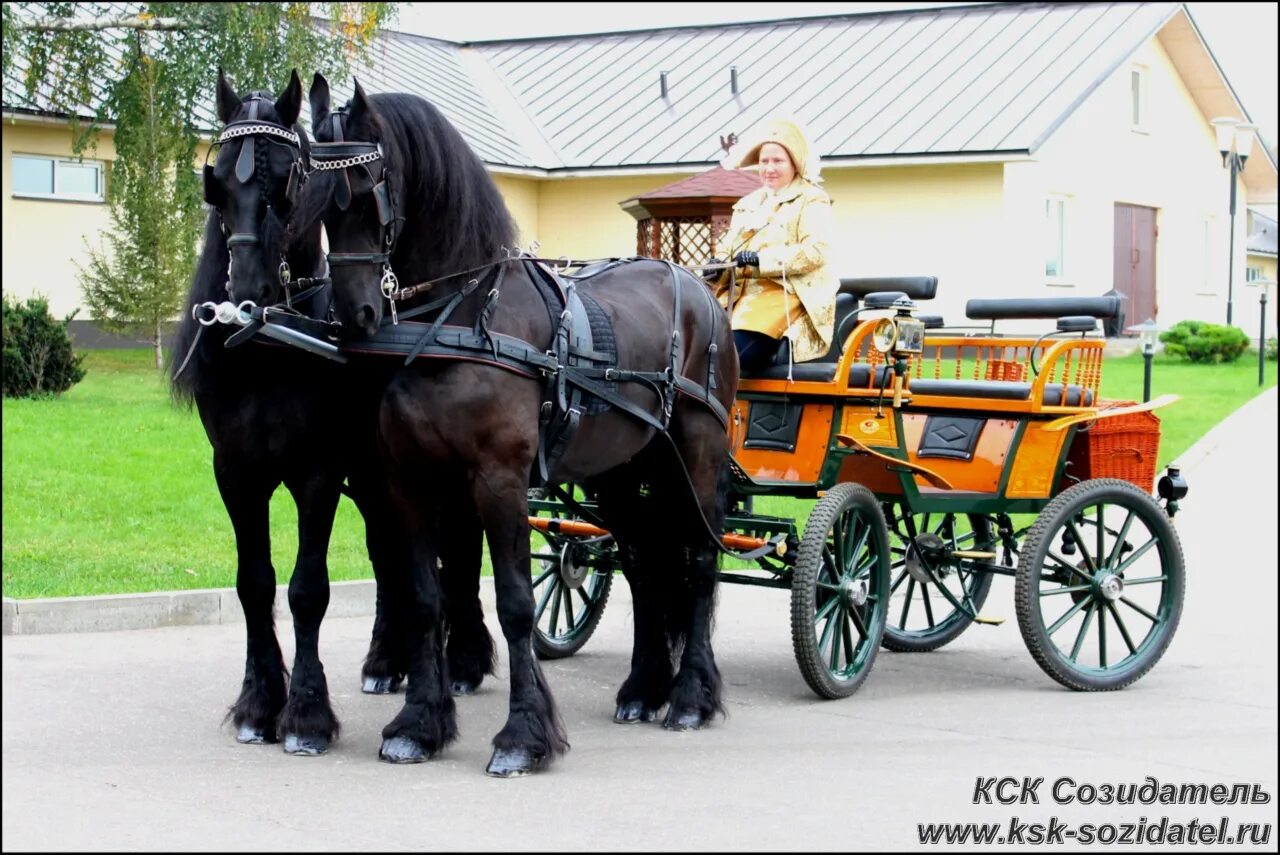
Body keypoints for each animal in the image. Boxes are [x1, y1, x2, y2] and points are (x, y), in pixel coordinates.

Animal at [170, 71, 497, 755]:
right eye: (219, 180)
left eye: (288, 182)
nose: (245, 295)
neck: (266, 350)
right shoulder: (235, 474)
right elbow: (255, 583)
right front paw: (258, 704)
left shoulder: (315, 474)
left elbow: (307, 589)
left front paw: (306, 714)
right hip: (375, 477)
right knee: (390, 553)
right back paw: (390, 661)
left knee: (456, 547)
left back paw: (464, 657)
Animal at [296, 73, 740, 776]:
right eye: (314, 198)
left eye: (367, 186)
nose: (355, 315)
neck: (461, 316)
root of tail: (702, 292)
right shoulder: (408, 483)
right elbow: (425, 599)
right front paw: (419, 725)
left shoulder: (499, 481)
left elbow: (515, 604)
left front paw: (523, 736)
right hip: (621, 471)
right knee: (644, 562)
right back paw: (644, 689)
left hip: (696, 459)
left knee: (698, 561)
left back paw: (691, 695)